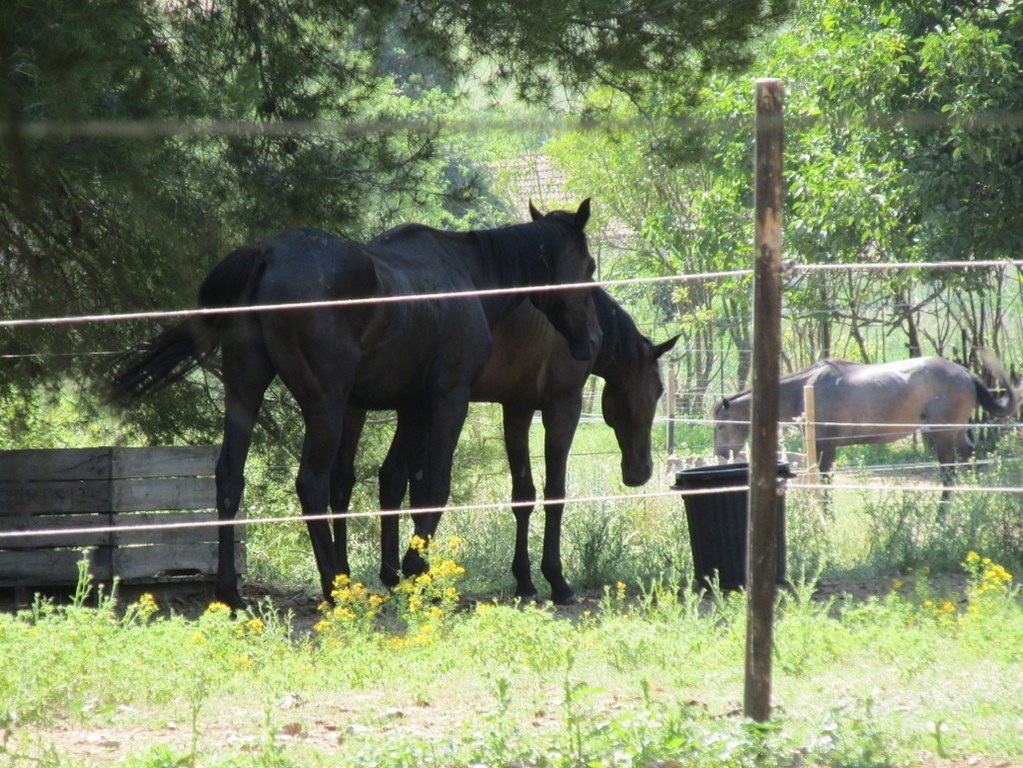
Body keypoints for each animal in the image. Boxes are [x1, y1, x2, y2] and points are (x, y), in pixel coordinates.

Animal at [109, 201, 605, 609]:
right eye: (589, 264)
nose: (595, 339)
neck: (466, 276)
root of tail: (267, 253)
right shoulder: (449, 399)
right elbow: (434, 488)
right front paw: (416, 570)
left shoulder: (414, 406)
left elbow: (407, 487)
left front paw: (408, 574)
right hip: (326, 406)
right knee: (311, 484)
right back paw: (334, 585)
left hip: (246, 391)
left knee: (230, 477)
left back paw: (232, 592)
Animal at [331, 286, 675, 605]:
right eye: (659, 388)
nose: (640, 473)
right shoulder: (562, 405)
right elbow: (555, 493)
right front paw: (557, 581)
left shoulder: (517, 408)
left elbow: (523, 496)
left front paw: (525, 581)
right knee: (352, 481)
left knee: (375, 478)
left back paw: (371, 576)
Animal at [716, 353, 1018, 501]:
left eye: (719, 425)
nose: (721, 455)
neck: (806, 388)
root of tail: (965, 373)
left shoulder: (825, 448)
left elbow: (825, 482)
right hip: (956, 433)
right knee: (968, 459)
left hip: (942, 436)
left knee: (949, 473)